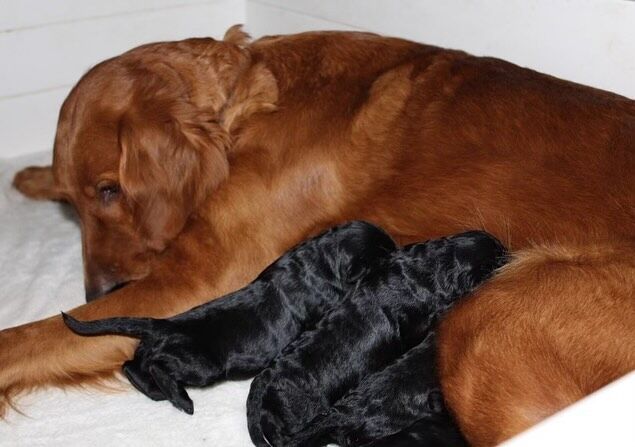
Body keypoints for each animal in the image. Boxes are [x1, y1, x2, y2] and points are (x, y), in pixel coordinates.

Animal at [63, 222, 398, 414]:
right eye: (384, 254)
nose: (399, 255)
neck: (321, 258)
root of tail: (165, 324)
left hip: (156, 351)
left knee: (132, 364)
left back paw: (155, 391)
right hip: (200, 365)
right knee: (154, 366)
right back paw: (182, 400)